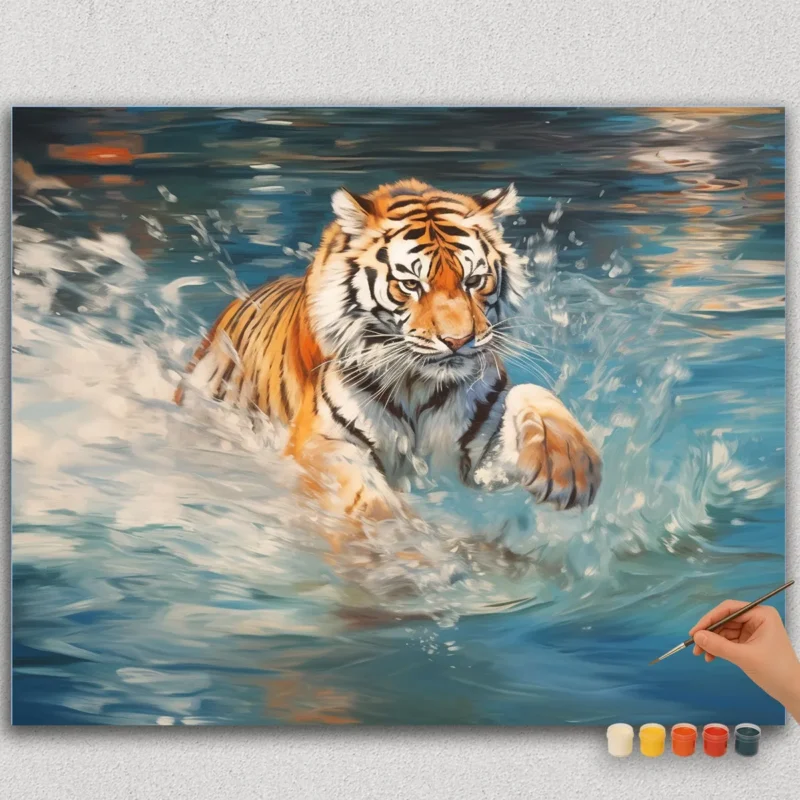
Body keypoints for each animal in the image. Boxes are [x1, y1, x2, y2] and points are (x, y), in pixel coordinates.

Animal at [175, 179, 601, 537]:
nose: (458, 340)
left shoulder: (475, 453)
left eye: (474, 281)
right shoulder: (320, 442)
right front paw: (399, 538)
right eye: (411, 284)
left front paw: (569, 465)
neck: (417, 383)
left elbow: (534, 395)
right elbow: (364, 496)